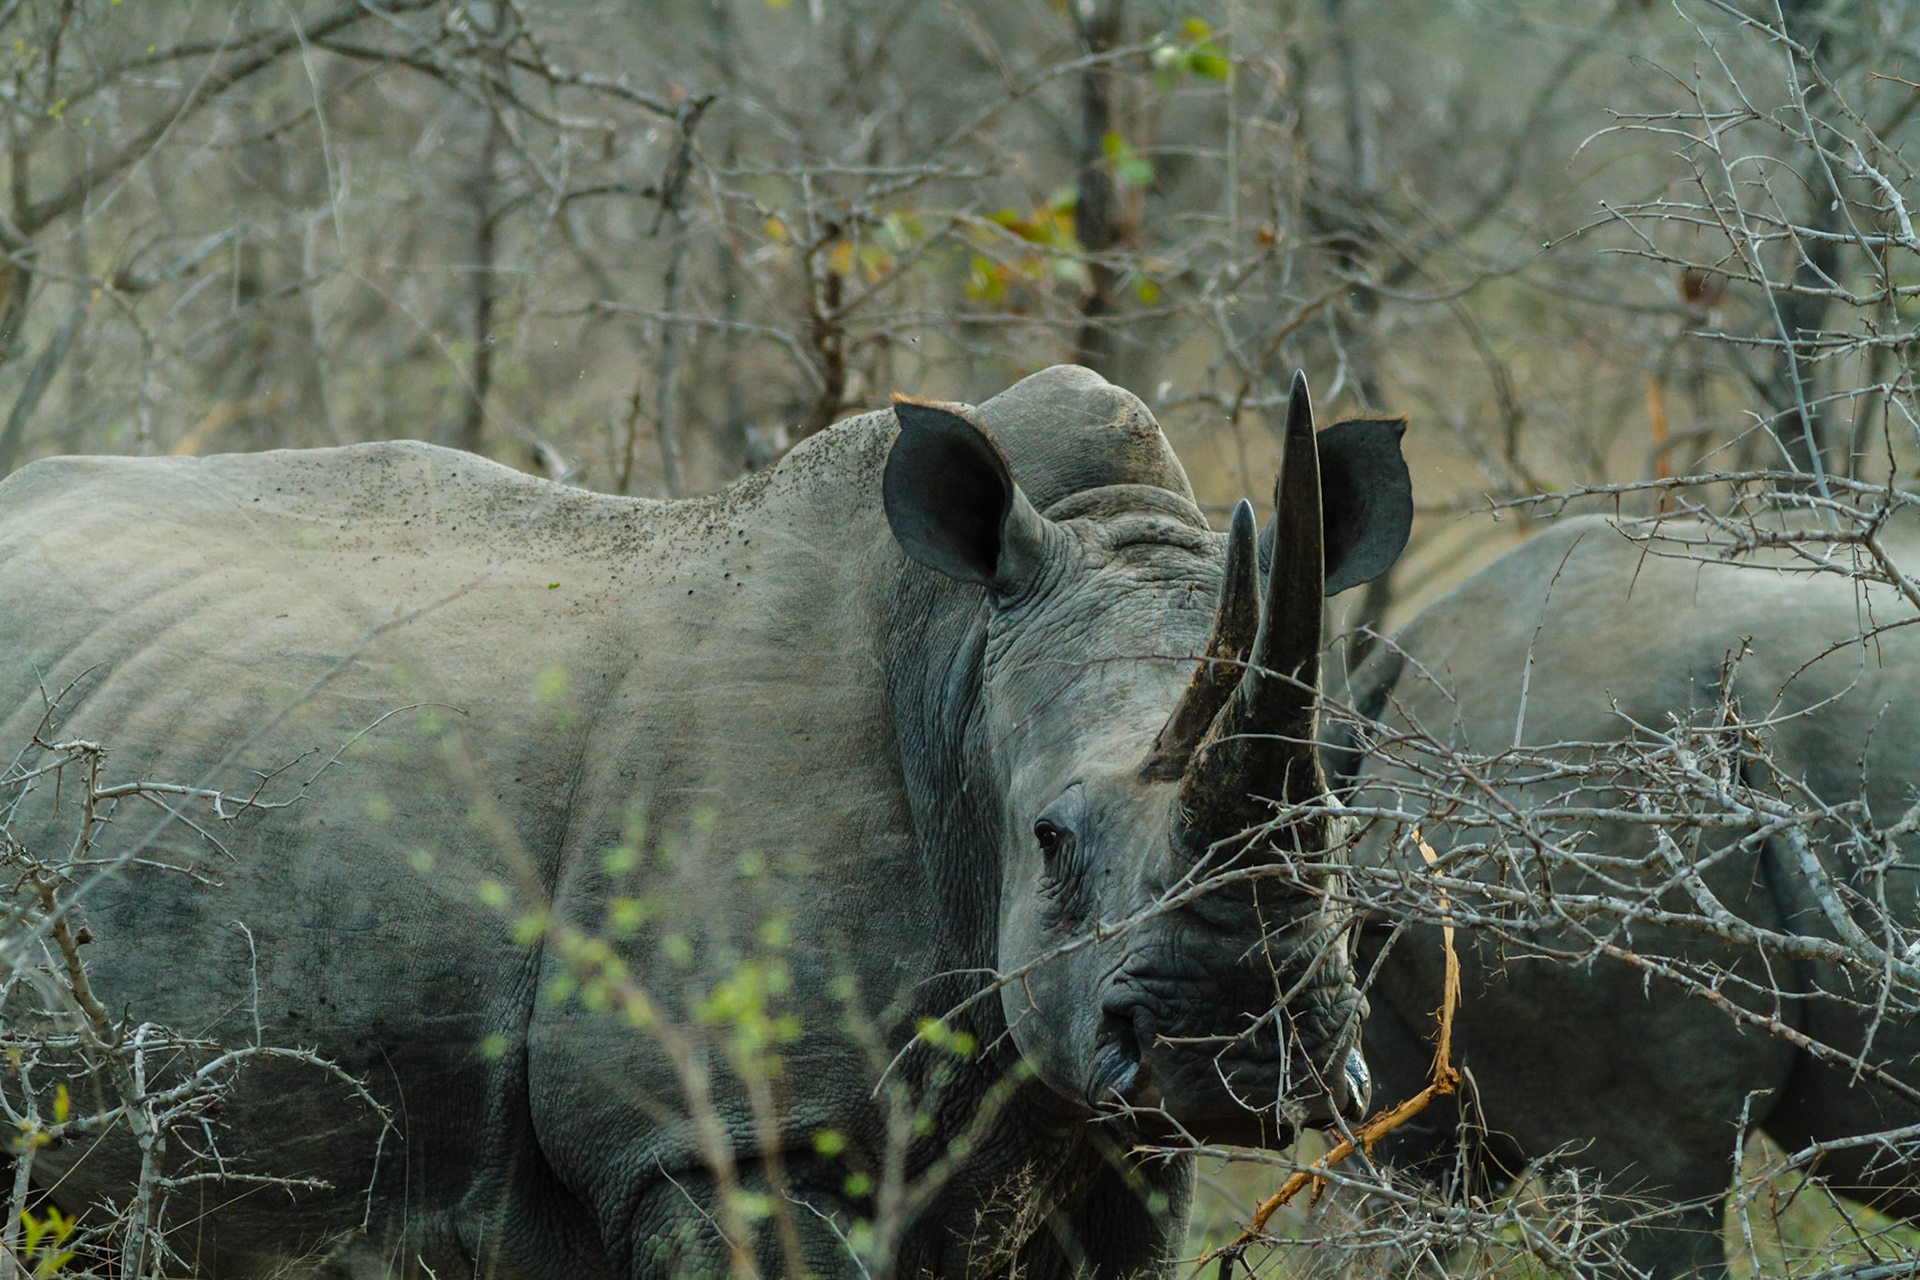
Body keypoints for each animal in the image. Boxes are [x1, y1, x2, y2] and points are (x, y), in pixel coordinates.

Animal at [0, 366, 1411, 1279]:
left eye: (1352, 790)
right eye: (1052, 843)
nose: (1248, 1050)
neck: (960, 665)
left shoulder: (1109, 1137)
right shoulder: (708, 1137)